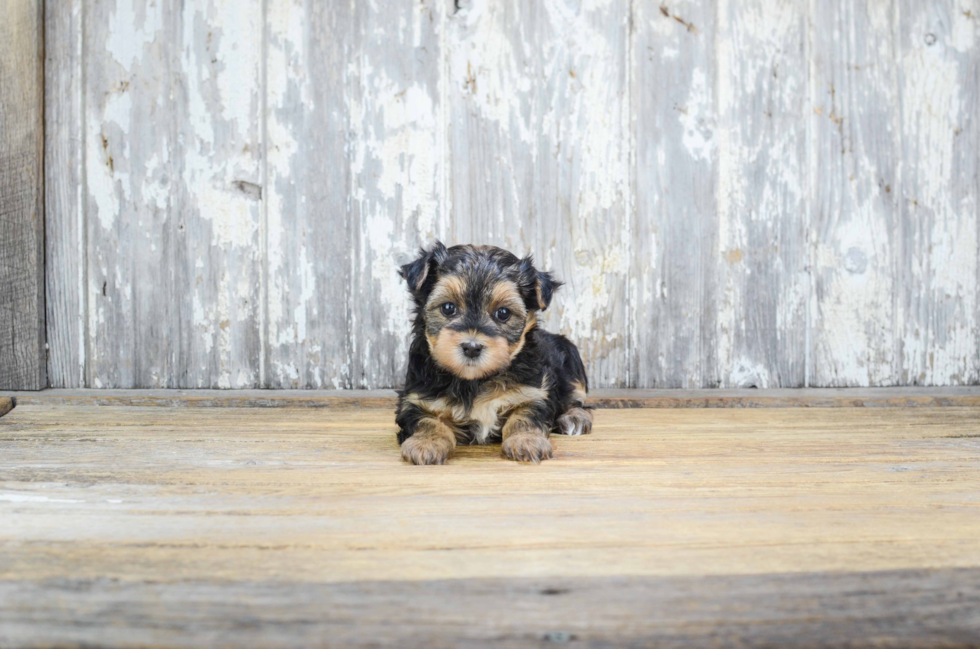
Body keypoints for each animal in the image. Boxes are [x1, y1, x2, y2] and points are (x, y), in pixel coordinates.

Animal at [396, 240, 592, 464]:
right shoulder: (414, 399)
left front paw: (526, 440)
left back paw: (575, 417)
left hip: (571, 360)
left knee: (576, 398)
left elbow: (526, 415)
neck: (475, 381)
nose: (472, 347)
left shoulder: (535, 391)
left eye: (503, 313)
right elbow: (425, 419)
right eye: (448, 308)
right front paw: (426, 443)